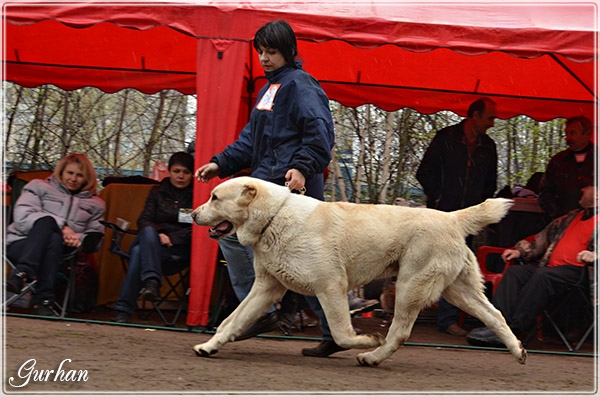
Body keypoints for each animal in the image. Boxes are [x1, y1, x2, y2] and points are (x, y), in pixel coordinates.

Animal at [192, 176, 524, 366]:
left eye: (215, 197)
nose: (193, 214)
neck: (274, 216)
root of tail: (453, 217)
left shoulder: (330, 287)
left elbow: (341, 333)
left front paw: (366, 340)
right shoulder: (266, 288)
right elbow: (231, 322)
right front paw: (209, 346)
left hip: (410, 287)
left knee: (399, 332)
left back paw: (371, 356)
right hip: (459, 291)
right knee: (496, 316)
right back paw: (517, 350)